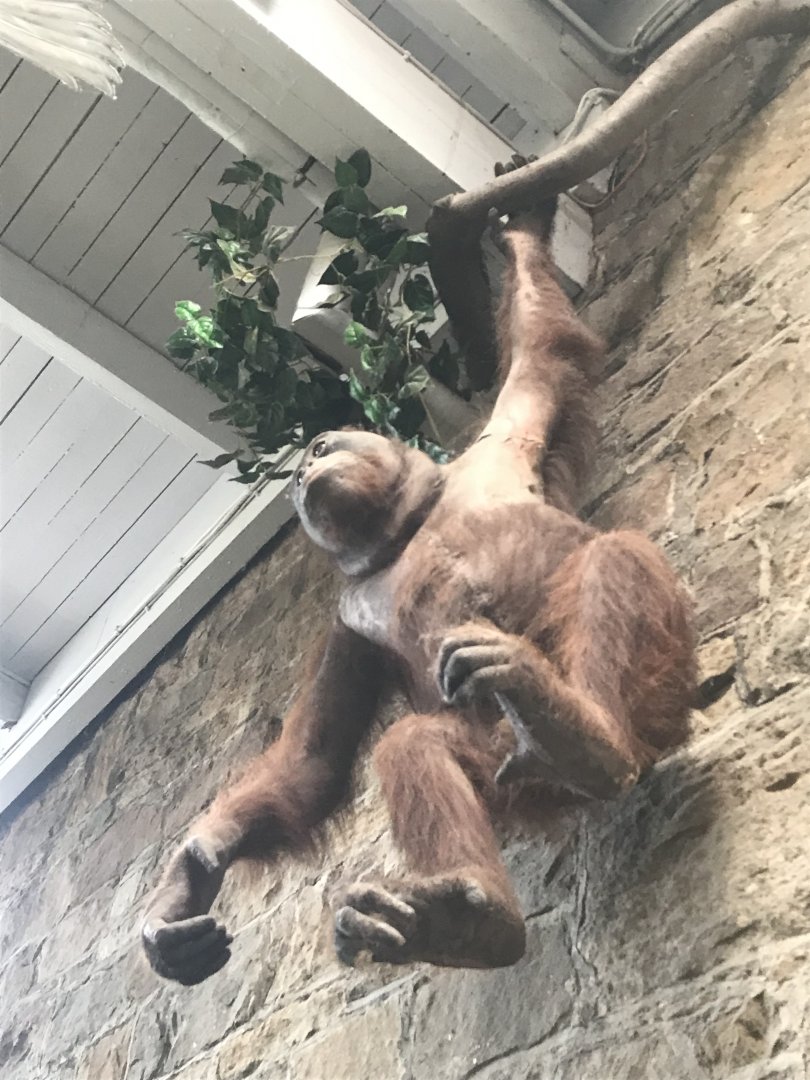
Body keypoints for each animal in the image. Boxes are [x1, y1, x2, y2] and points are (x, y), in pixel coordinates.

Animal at [140, 181, 696, 985]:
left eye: (320, 444)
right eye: (303, 468)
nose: (304, 473)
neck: (408, 523)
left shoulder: (508, 431)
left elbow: (541, 349)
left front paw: (521, 226)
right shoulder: (344, 626)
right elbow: (312, 761)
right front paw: (189, 874)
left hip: (660, 686)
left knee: (612, 559)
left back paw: (591, 734)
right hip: (511, 781)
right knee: (416, 744)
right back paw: (470, 916)